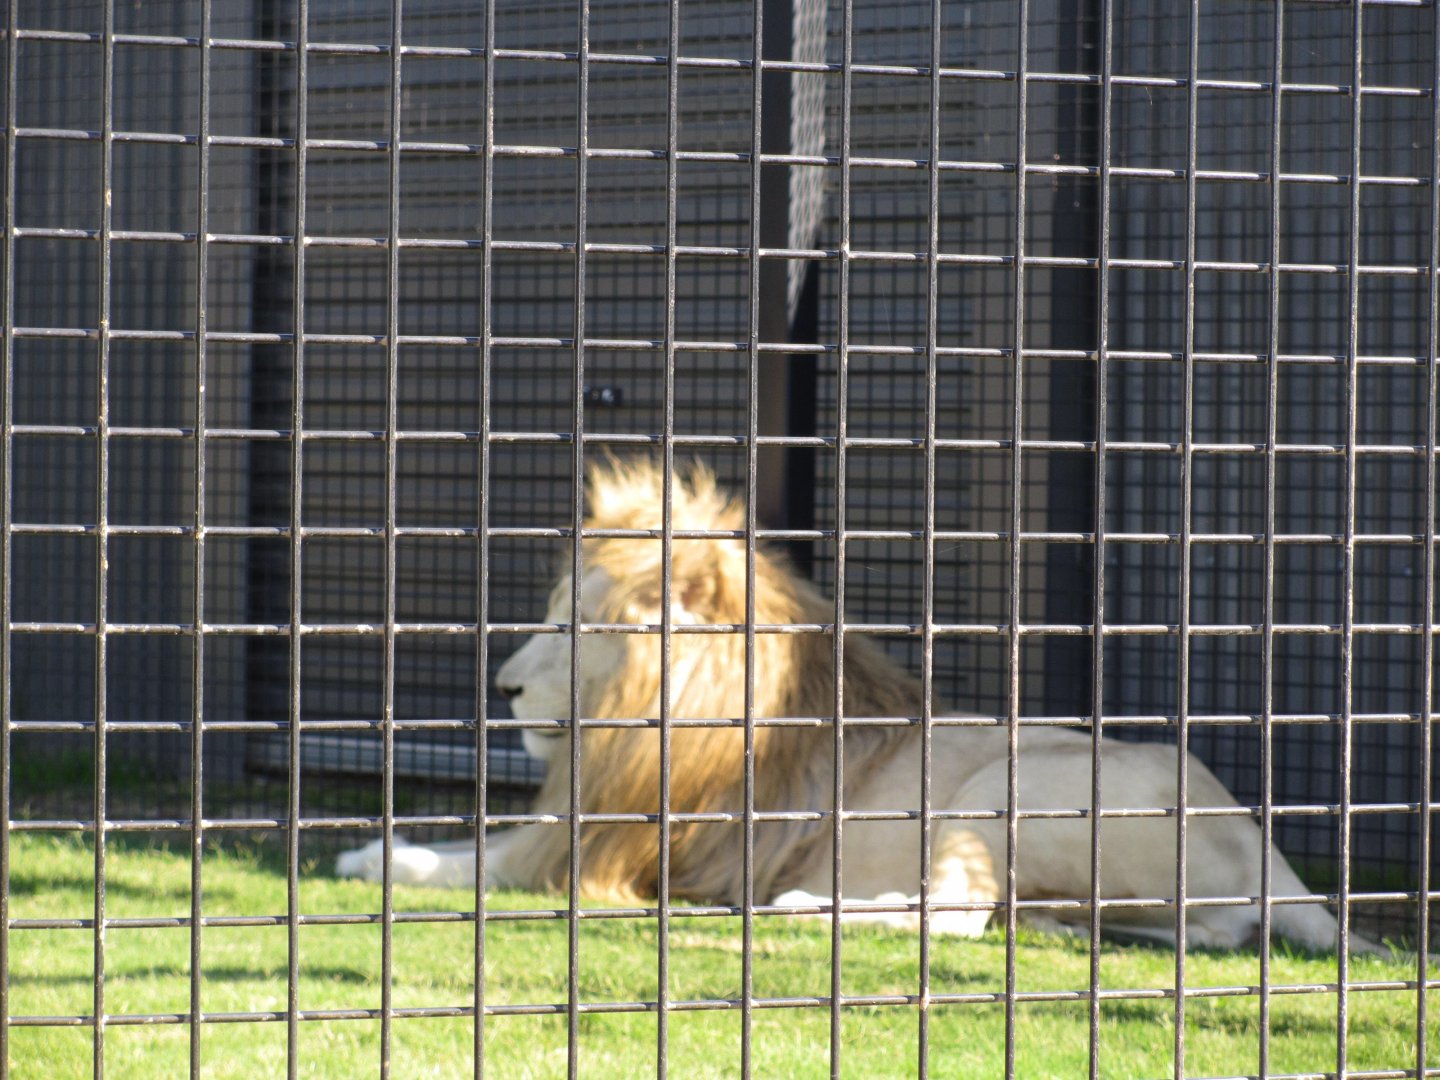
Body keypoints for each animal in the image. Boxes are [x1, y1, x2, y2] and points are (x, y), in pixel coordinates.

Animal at [338, 457, 1375, 953]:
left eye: (575, 626)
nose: (503, 687)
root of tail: (1274, 857)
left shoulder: (605, 850)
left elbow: (470, 864)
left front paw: (374, 856)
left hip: (1008, 786)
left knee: (953, 914)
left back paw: (802, 902)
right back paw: (1056, 925)